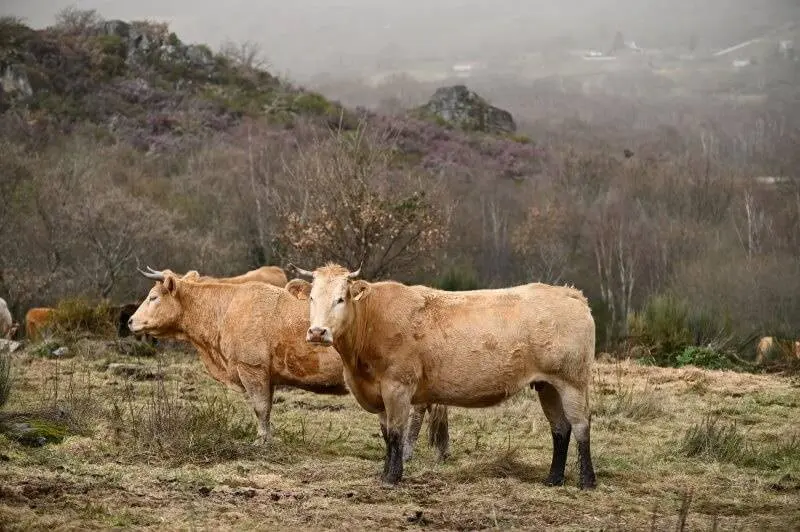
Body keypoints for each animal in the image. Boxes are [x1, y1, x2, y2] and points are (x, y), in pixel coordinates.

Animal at [128, 268, 446, 460]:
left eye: (153, 297)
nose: (130, 321)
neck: (227, 307)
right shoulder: (266, 375)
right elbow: (266, 409)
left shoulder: (252, 369)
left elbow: (260, 408)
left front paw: (260, 442)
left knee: (415, 414)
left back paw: (406, 451)